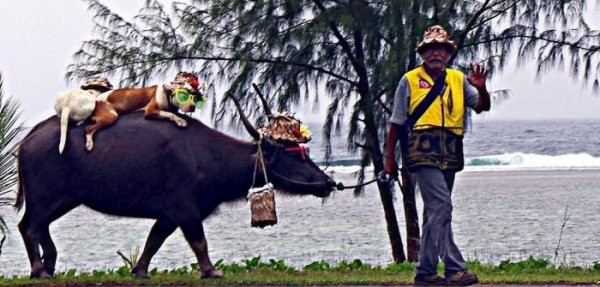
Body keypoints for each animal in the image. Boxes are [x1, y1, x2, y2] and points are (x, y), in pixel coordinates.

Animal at [14, 105, 336, 280]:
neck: (208, 156)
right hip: (45, 197)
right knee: (28, 226)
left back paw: (49, 264)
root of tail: (28, 139)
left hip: (63, 199)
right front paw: (211, 271)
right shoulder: (186, 210)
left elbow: (154, 240)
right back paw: (40, 269)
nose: (328, 182)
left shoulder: (169, 215)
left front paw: (140, 270)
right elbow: (199, 242)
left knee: (40, 226)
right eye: (295, 157)